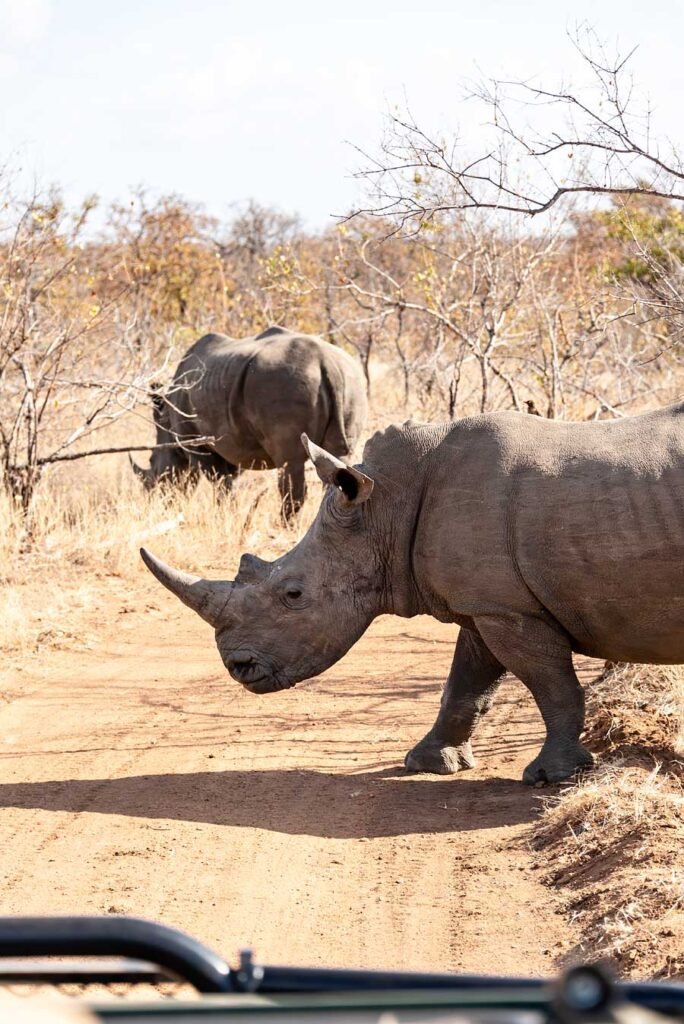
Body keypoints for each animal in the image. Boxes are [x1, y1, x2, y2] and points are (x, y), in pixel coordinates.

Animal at [130, 326, 367, 517]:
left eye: (152, 462)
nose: (159, 503)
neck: (168, 425)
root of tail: (327, 363)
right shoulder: (236, 441)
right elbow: (227, 481)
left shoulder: (196, 444)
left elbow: (218, 483)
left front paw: (225, 517)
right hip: (351, 381)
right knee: (339, 459)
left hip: (284, 382)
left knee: (290, 463)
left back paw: (282, 527)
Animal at [140, 404, 684, 785]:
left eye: (293, 594)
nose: (239, 668)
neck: (386, 504)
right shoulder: (488, 604)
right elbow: (464, 686)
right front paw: (427, 763)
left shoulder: (507, 610)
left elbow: (552, 687)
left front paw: (552, 777)